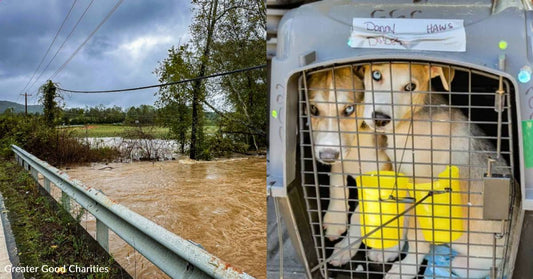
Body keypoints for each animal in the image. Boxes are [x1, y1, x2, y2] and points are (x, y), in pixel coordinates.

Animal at [306, 67, 402, 266]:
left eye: (349, 109)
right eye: (313, 109)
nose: (327, 156)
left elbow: (359, 216)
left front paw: (345, 248)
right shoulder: (340, 160)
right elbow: (336, 185)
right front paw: (335, 219)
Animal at [360, 63, 504, 279]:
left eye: (411, 87)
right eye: (376, 75)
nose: (380, 119)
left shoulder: (424, 193)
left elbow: (417, 238)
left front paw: (405, 269)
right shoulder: (403, 181)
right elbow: (403, 220)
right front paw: (389, 250)